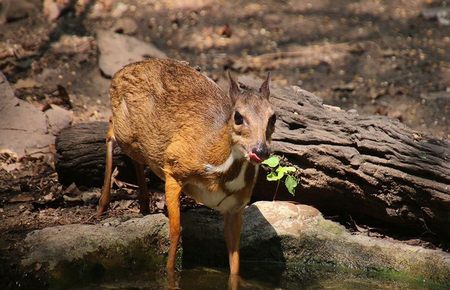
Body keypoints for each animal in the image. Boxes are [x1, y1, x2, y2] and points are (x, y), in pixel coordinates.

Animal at [96, 58, 276, 276]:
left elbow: (235, 261)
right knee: (110, 129)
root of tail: (119, 73)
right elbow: (175, 231)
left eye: (273, 118)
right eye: (238, 117)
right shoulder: (174, 169)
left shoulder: (236, 207)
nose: (260, 150)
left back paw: (144, 204)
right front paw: (170, 273)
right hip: (126, 131)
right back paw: (101, 207)